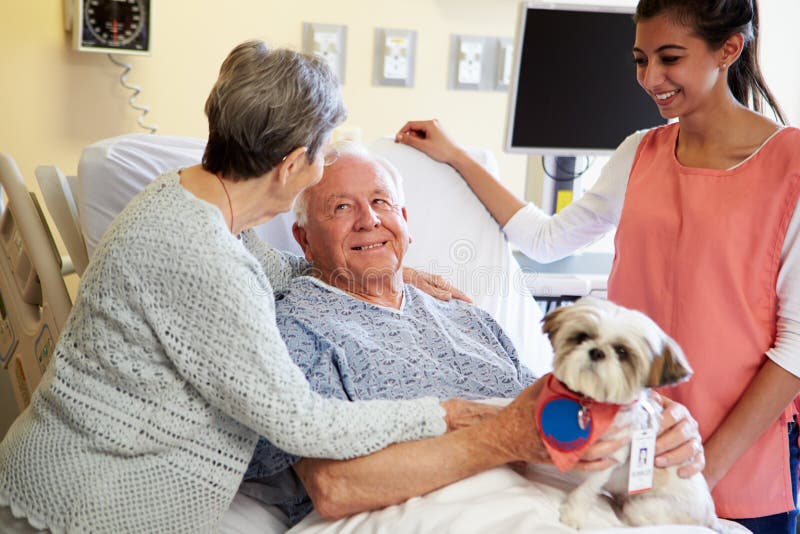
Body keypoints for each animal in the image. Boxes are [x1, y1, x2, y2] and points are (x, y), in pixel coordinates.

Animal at [540, 300, 720, 532]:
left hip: (646, 507)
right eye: (582, 337)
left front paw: (573, 513)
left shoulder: (609, 459)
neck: (592, 405)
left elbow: (587, 489)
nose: (597, 352)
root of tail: (710, 517)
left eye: (622, 352)